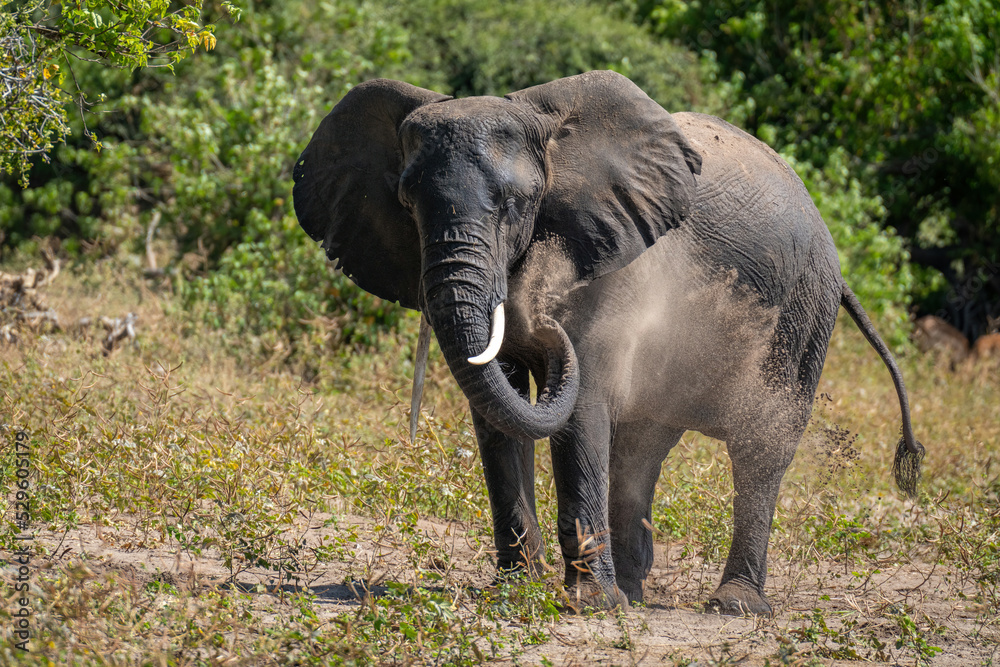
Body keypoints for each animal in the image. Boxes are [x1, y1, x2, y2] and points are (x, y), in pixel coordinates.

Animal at [292, 71, 924, 615]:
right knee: (643, 447)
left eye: (515, 206)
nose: (538, 311)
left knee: (760, 448)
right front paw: (519, 592)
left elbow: (582, 407)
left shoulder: (613, 262)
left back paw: (731, 606)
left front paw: (588, 606)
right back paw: (637, 593)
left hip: (802, 316)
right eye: (406, 204)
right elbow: (499, 411)